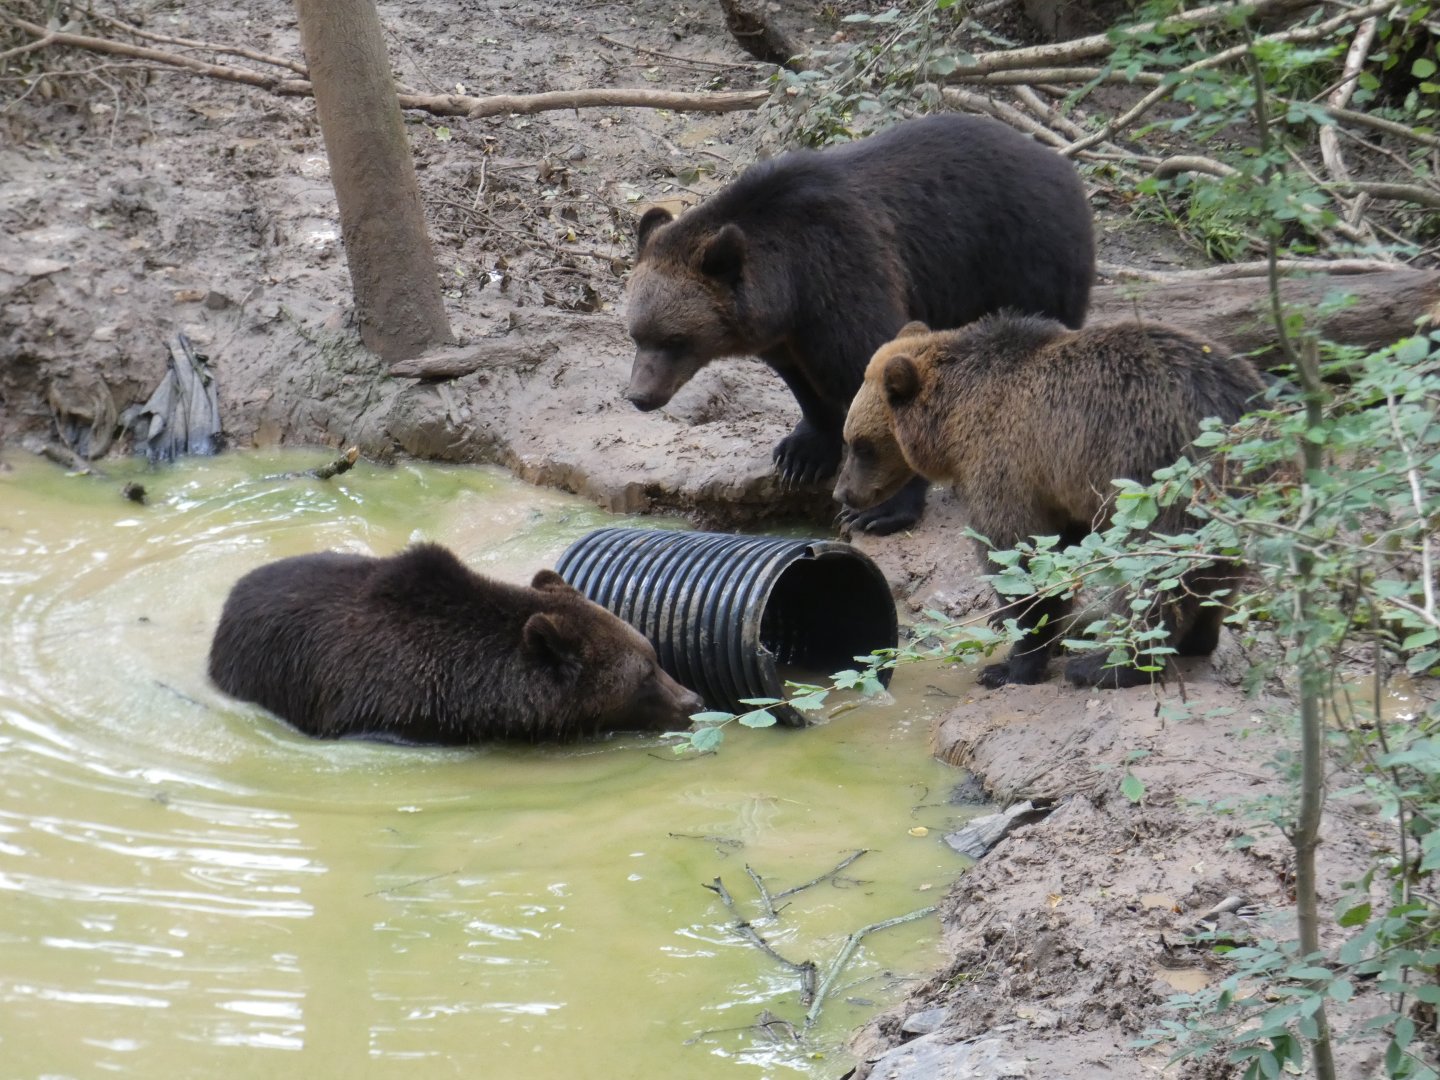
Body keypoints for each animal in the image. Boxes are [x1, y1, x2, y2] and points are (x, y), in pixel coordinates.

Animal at [623, 112, 1095, 536]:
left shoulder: (845, 273)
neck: (792, 281)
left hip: (1025, 259)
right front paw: (801, 454)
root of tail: (1062, 163)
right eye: (636, 334)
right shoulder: (788, 332)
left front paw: (880, 510)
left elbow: (876, 373)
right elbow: (805, 383)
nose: (640, 396)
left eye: (676, 339)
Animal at [833, 313, 1266, 689]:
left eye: (860, 445)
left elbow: (1018, 555)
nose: (843, 494)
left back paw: (1105, 666)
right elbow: (1061, 548)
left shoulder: (1006, 462)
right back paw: (1198, 638)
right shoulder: (1061, 485)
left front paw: (1009, 665)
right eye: (851, 440)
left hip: (1159, 475)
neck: (952, 419)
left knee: (1153, 575)